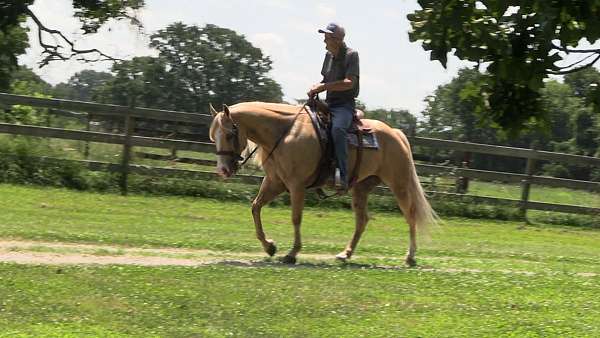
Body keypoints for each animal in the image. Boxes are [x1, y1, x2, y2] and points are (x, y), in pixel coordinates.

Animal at [210, 101, 436, 266]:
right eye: (213, 137)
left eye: (229, 134)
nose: (222, 170)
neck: (284, 133)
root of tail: (396, 133)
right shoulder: (275, 182)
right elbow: (255, 207)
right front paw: (270, 247)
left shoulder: (296, 185)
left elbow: (296, 218)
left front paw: (292, 253)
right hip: (361, 188)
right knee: (362, 220)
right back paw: (345, 254)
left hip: (399, 184)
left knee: (410, 216)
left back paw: (410, 256)